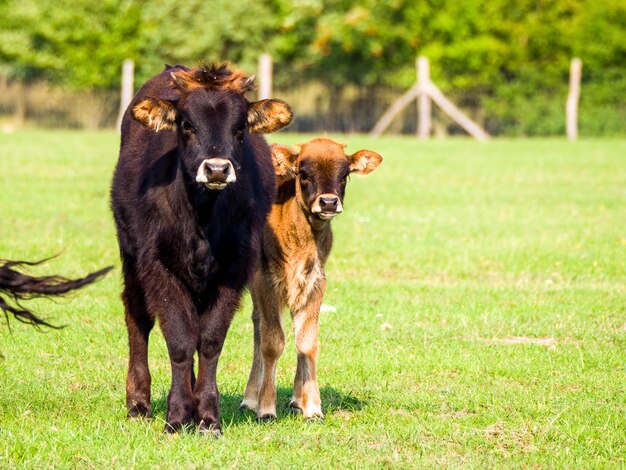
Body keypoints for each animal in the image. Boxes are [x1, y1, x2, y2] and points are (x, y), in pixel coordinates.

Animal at [241, 136, 382, 418]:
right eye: (304, 173)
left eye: (344, 174)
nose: (328, 202)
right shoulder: (266, 280)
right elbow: (272, 341)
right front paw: (266, 408)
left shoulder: (315, 282)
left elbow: (307, 341)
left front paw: (312, 406)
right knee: (259, 327)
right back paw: (251, 398)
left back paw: (296, 399)